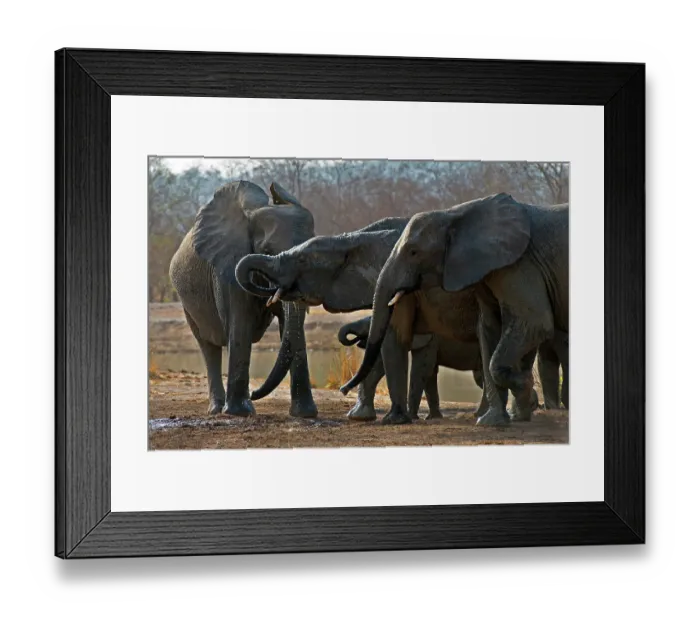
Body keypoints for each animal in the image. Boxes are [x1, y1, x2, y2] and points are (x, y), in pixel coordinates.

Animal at [169, 180, 318, 419]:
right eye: (266, 250)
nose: (256, 393)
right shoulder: (227, 267)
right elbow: (240, 323)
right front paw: (239, 413)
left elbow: (292, 327)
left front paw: (305, 414)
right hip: (187, 304)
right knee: (208, 345)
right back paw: (217, 410)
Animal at [340, 192, 568, 426]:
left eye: (413, 252)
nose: (343, 389)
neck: (454, 213)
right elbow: (489, 329)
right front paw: (492, 422)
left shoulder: (520, 265)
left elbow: (535, 323)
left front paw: (524, 386)